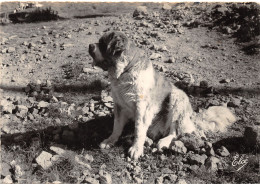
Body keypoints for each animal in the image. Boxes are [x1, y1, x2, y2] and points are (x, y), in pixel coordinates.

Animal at [88, 31, 237, 160]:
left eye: (102, 43)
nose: (90, 46)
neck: (125, 71)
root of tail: (191, 116)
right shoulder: (119, 104)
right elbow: (117, 126)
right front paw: (110, 140)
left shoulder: (142, 107)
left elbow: (139, 130)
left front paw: (136, 149)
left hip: (177, 97)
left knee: (175, 132)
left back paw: (164, 142)